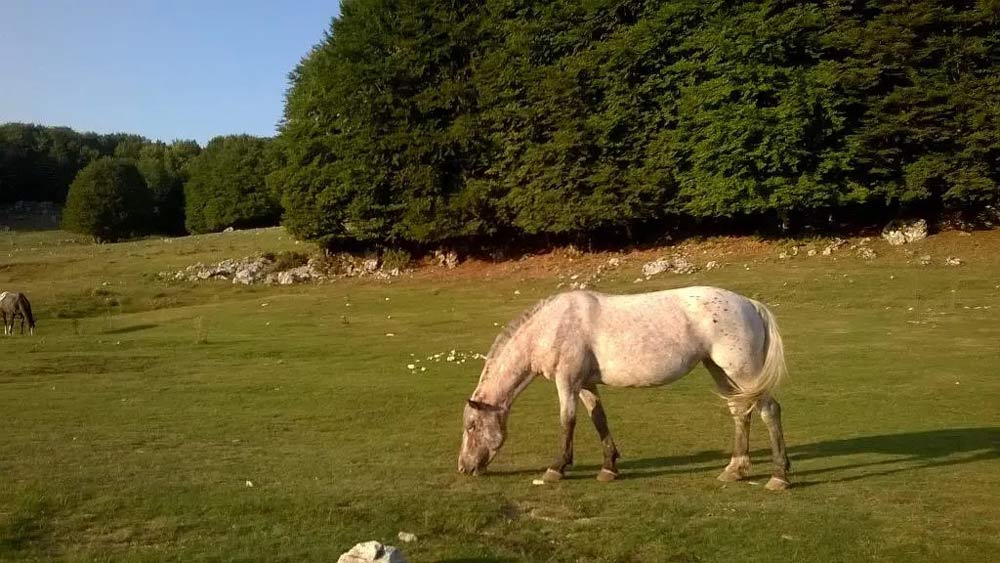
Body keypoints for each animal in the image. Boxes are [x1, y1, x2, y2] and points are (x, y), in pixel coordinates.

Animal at [458, 288, 792, 492]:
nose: (464, 467)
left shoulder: (567, 381)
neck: (551, 326)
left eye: (472, 427)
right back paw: (735, 469)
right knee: (740, 411)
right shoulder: (585, 383)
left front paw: (556, 469)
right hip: (720, 370)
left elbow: (567, 421)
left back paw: (779, 476)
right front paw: (609, 468)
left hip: (743, 372)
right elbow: (598, 419)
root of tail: (750, 305)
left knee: (770, 410)